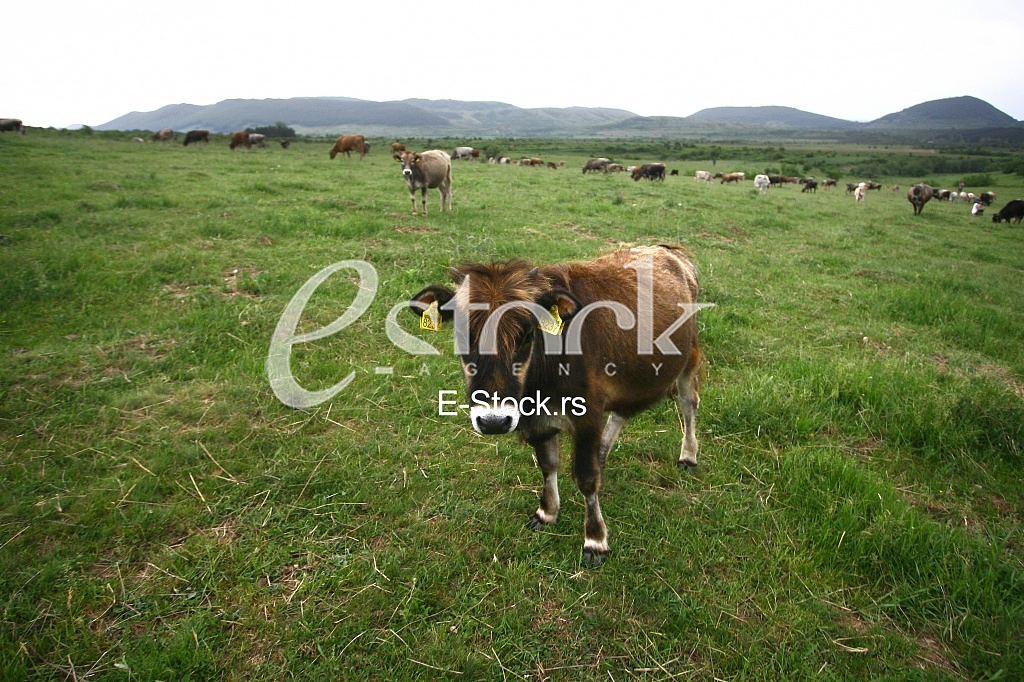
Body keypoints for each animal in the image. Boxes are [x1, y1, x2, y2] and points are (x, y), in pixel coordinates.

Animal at [408, 245, 706, 564]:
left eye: (527, 334)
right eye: (462, 335)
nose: (494, 421)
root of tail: (666, 249)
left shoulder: (588, 416)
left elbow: (586, 477)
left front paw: (595, 540)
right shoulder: (538, 420)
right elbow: (548, 464)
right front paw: (547, 512)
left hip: (690, 357)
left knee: (688, 404)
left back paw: (688, 456)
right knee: (621, 413)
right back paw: (603, 452)